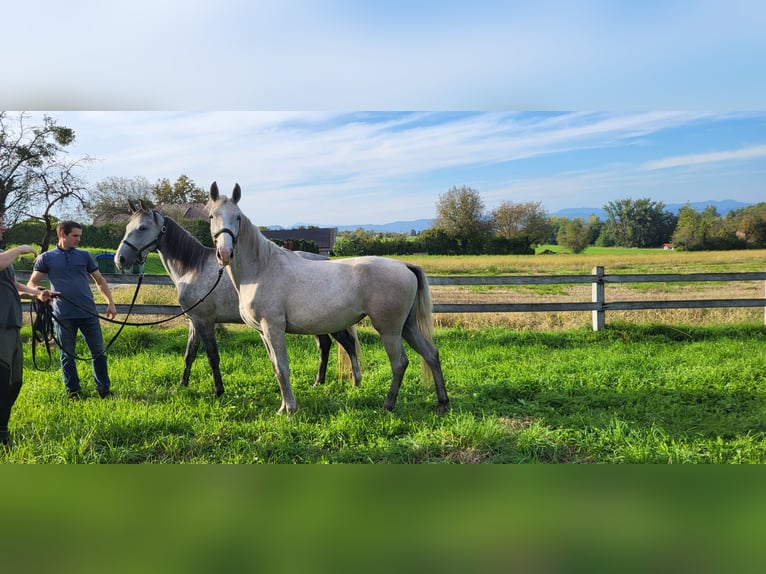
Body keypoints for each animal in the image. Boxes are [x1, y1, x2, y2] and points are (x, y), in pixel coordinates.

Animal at [207, 182, 452, 416]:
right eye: (211, 216)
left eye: (238, 217)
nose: (224, 253)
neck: (262, 269)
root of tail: (405, 266)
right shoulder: (262, 332)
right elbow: (276, 368)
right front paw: (283, 407)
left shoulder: (273, 328)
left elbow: (283, 368)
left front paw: (290, 409)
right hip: (407, 326)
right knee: (431, 354)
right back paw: (442, 404)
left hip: (389, 330)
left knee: (399, 363)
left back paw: (388, 404)